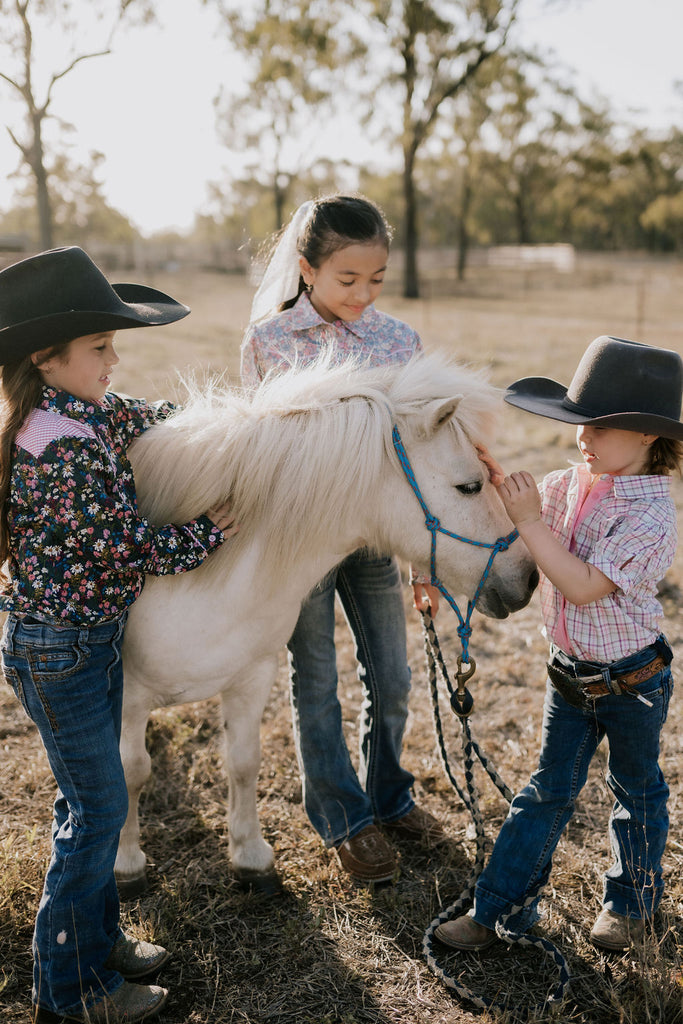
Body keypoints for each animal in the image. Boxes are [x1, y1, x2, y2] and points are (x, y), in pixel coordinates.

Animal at [114, 354, 536, 897]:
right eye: (470, 486)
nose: (528, 578)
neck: (190, 564)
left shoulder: (250, 679)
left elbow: (242, 763)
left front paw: (250, 857)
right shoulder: (125, 691)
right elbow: (128, 771)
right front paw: (125, 863)